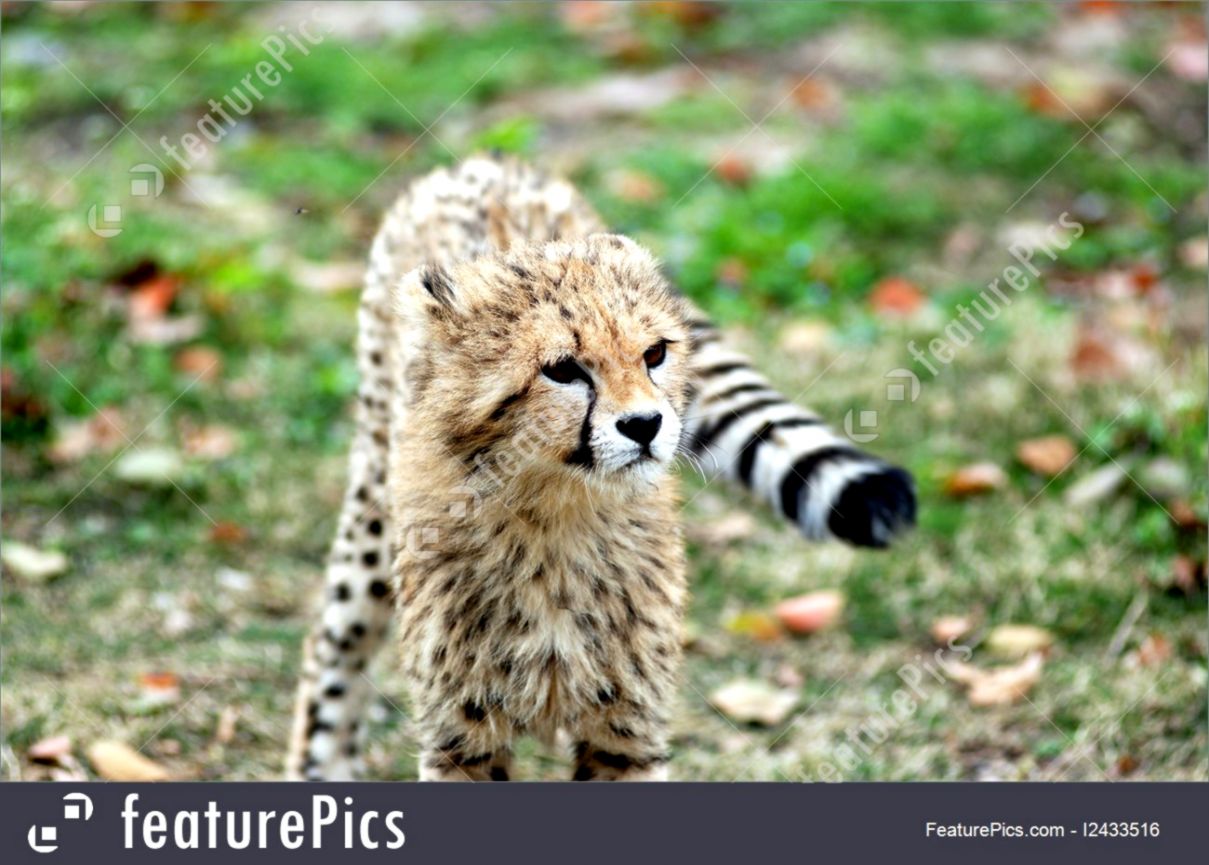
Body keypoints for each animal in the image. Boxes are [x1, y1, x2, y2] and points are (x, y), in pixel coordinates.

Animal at [286, 154, 916, 781]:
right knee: (333, 645)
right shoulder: (462, 740)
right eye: (563, 369)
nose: (645, 425)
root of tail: (485, 162)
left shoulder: (626, 731)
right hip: (373, 497)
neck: (552, 518)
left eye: (655, 353)